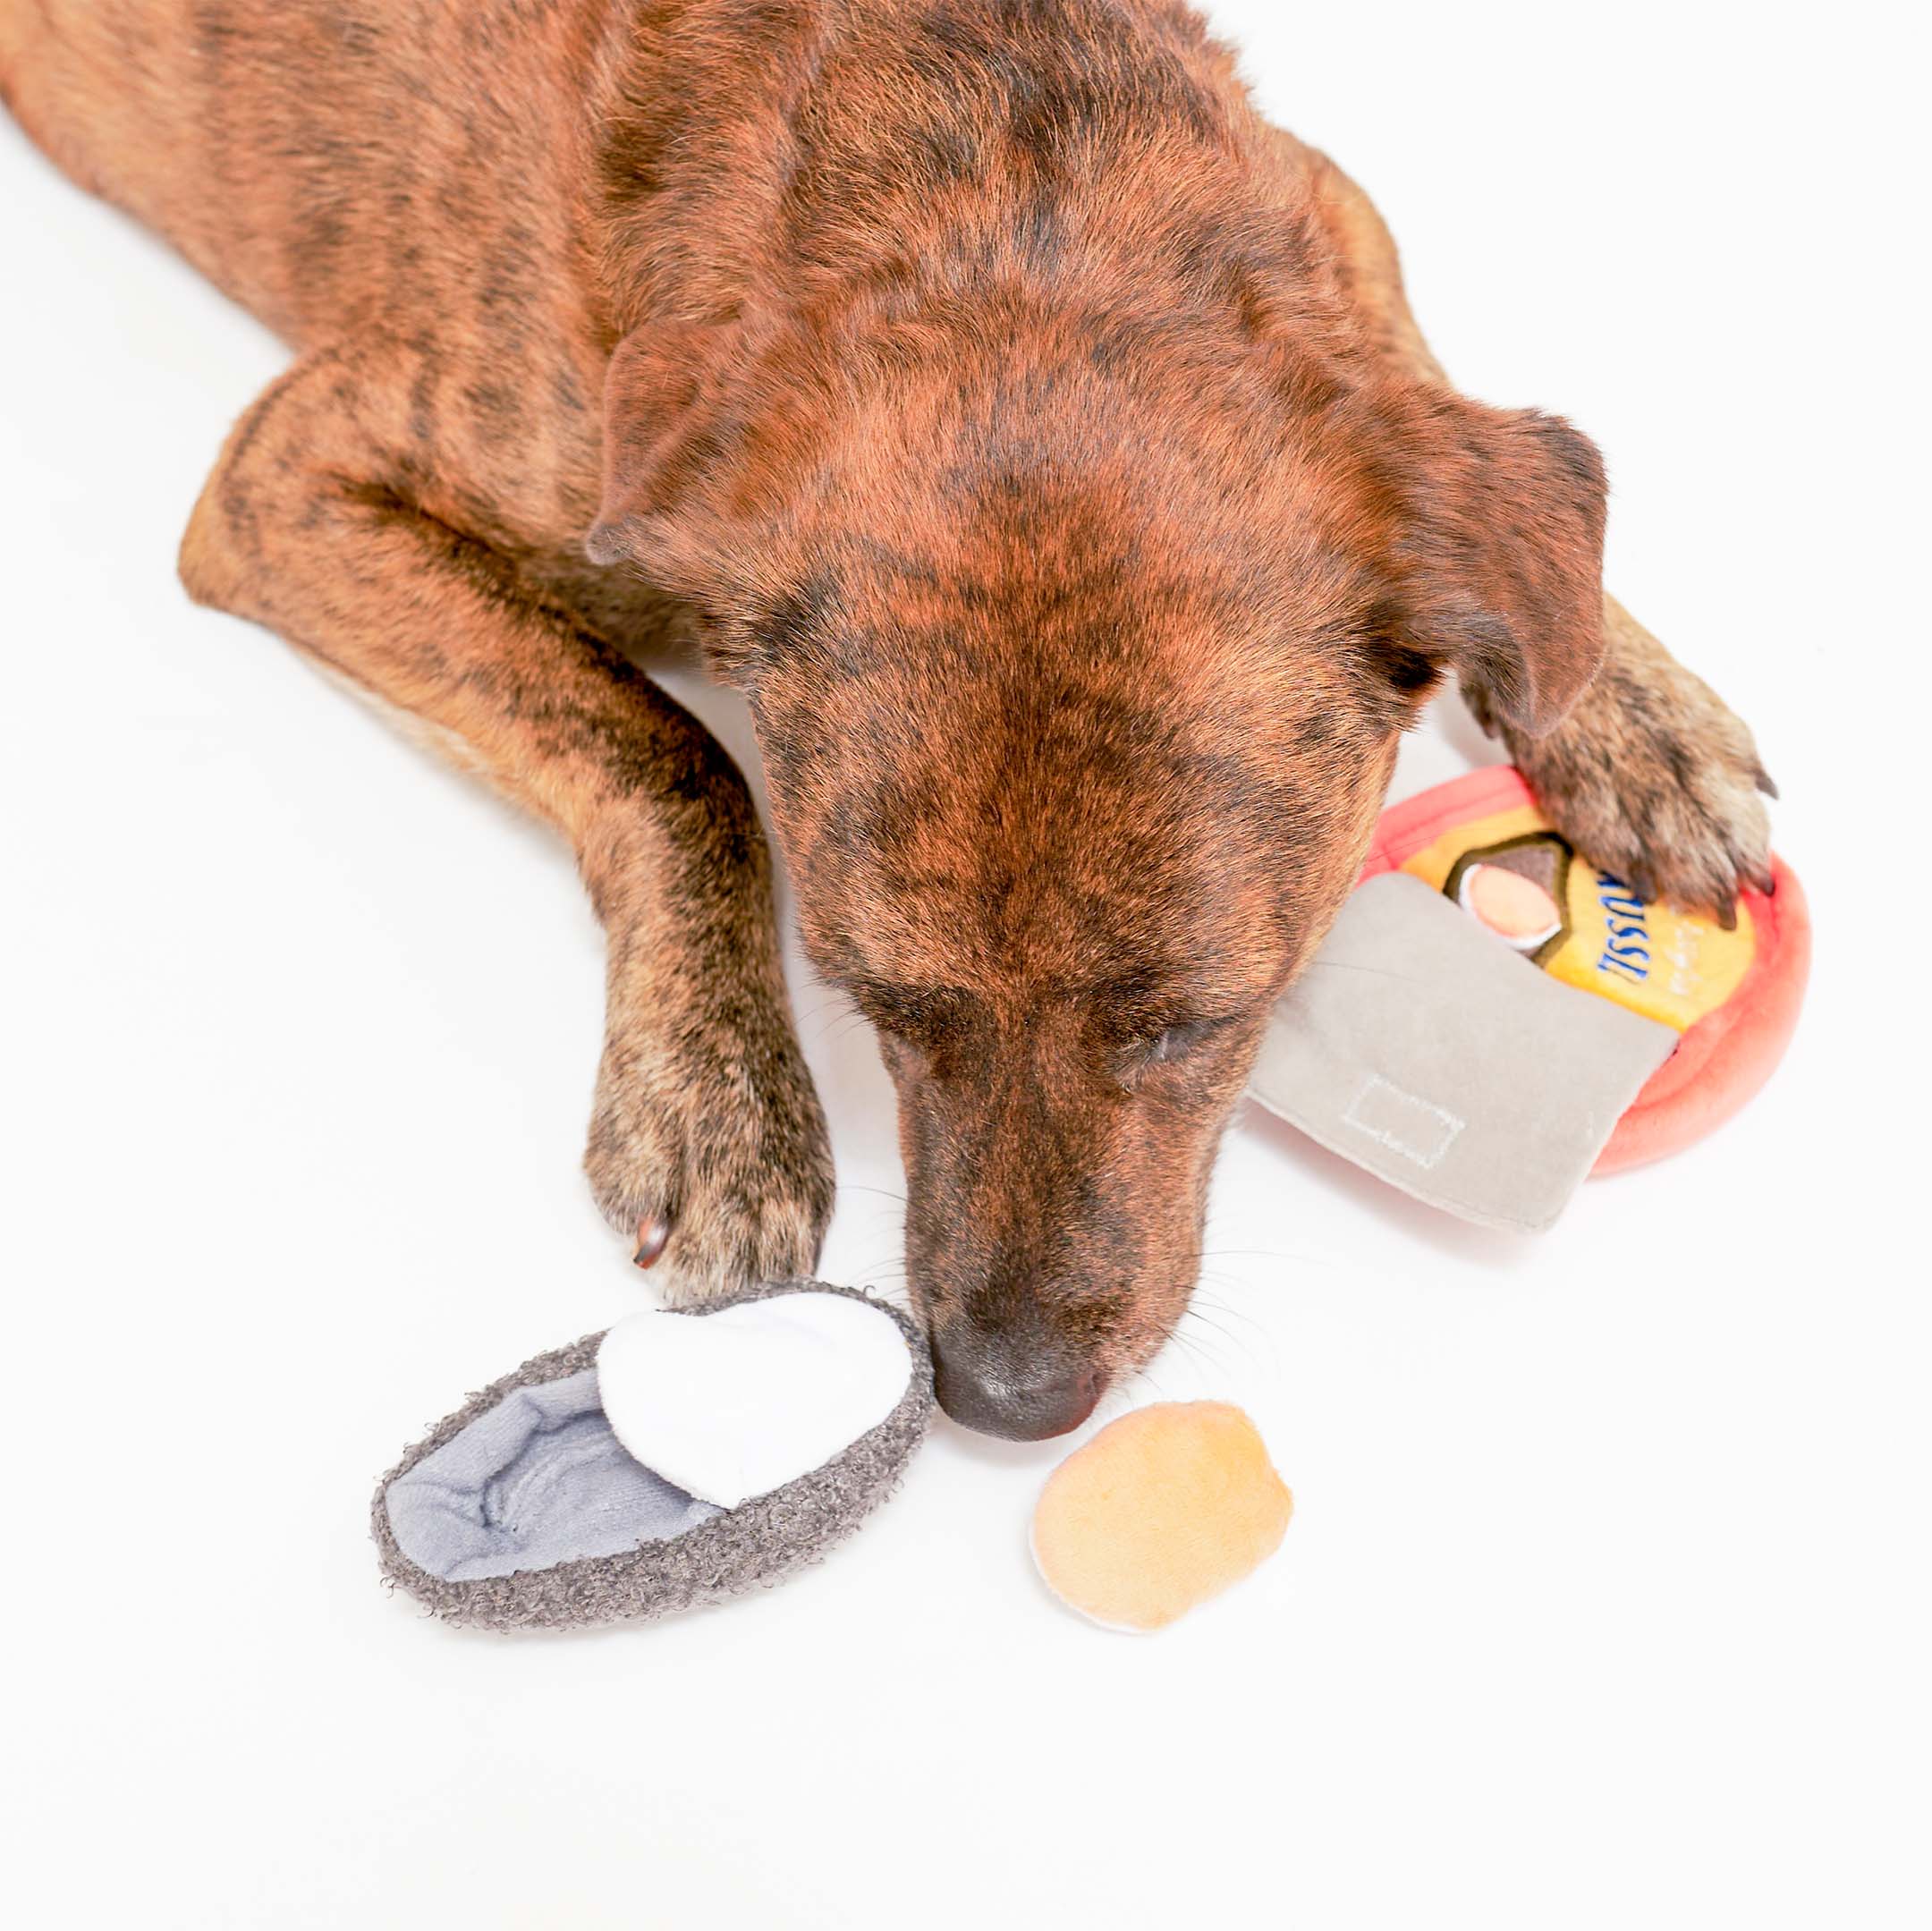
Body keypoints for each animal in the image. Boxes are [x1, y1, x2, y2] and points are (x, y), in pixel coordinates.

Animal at [4, 0, 1777, 1436]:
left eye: (1198, 1021)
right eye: (880, 1006)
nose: (1005, 1399)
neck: (1000, 179)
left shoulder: (1333, 206)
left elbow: (1462, 444)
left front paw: (1635, 716)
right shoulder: (293, 480)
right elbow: (667, 748)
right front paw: (714, 1093)